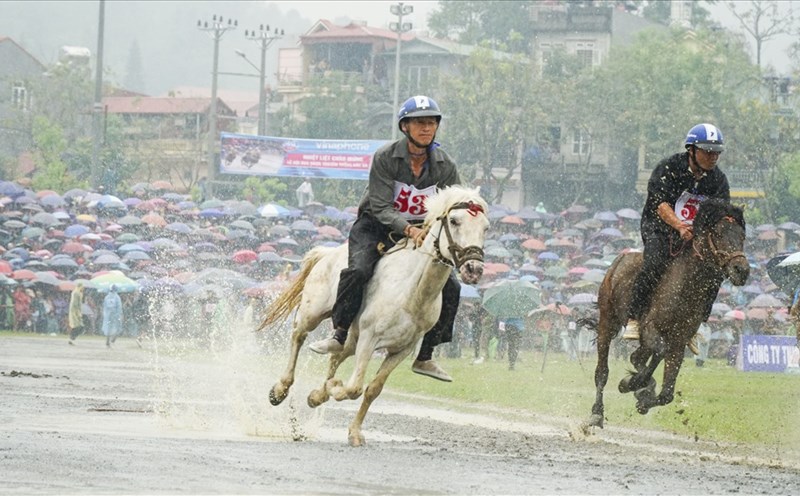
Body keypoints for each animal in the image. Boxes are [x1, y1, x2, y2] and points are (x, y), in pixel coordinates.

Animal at [260, 185, 488, 446]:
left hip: (352, 338)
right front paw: (334, 388)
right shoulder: (369, 339)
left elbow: (372, 389)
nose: (473, 269)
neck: (412, 292)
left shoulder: (402, 349)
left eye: (485, 227)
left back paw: (317, 395)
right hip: (313, 313)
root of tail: (327, 252)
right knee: (298, 335)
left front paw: (353, 430)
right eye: (454, 220)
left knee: (336, 356)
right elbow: (354, 387)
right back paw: (280, 390)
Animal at [580, 199, 752, 430]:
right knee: (602, 371)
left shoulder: (679, 341)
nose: (741, 270)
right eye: (718, 233)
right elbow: (659, 353)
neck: (686, 285)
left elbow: (667, 394)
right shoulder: (651, 329)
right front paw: (632, 383)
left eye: (742, 236)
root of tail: (620, 259)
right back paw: (597, 414)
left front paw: (643, 396)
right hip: (607, 320)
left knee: (637, 357)